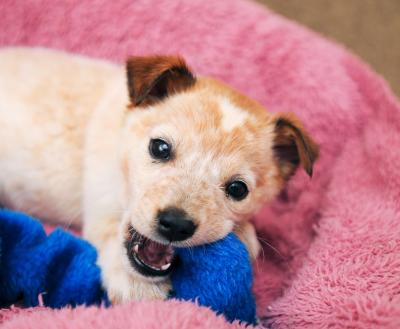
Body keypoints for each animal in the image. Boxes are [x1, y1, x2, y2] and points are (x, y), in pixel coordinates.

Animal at [0, 48, 318, 302]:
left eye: (238, 189)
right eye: (160, 147)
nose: (176, 225)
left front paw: (244, 234)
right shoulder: (101, 205)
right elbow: (110, 235)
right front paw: (137, 289)